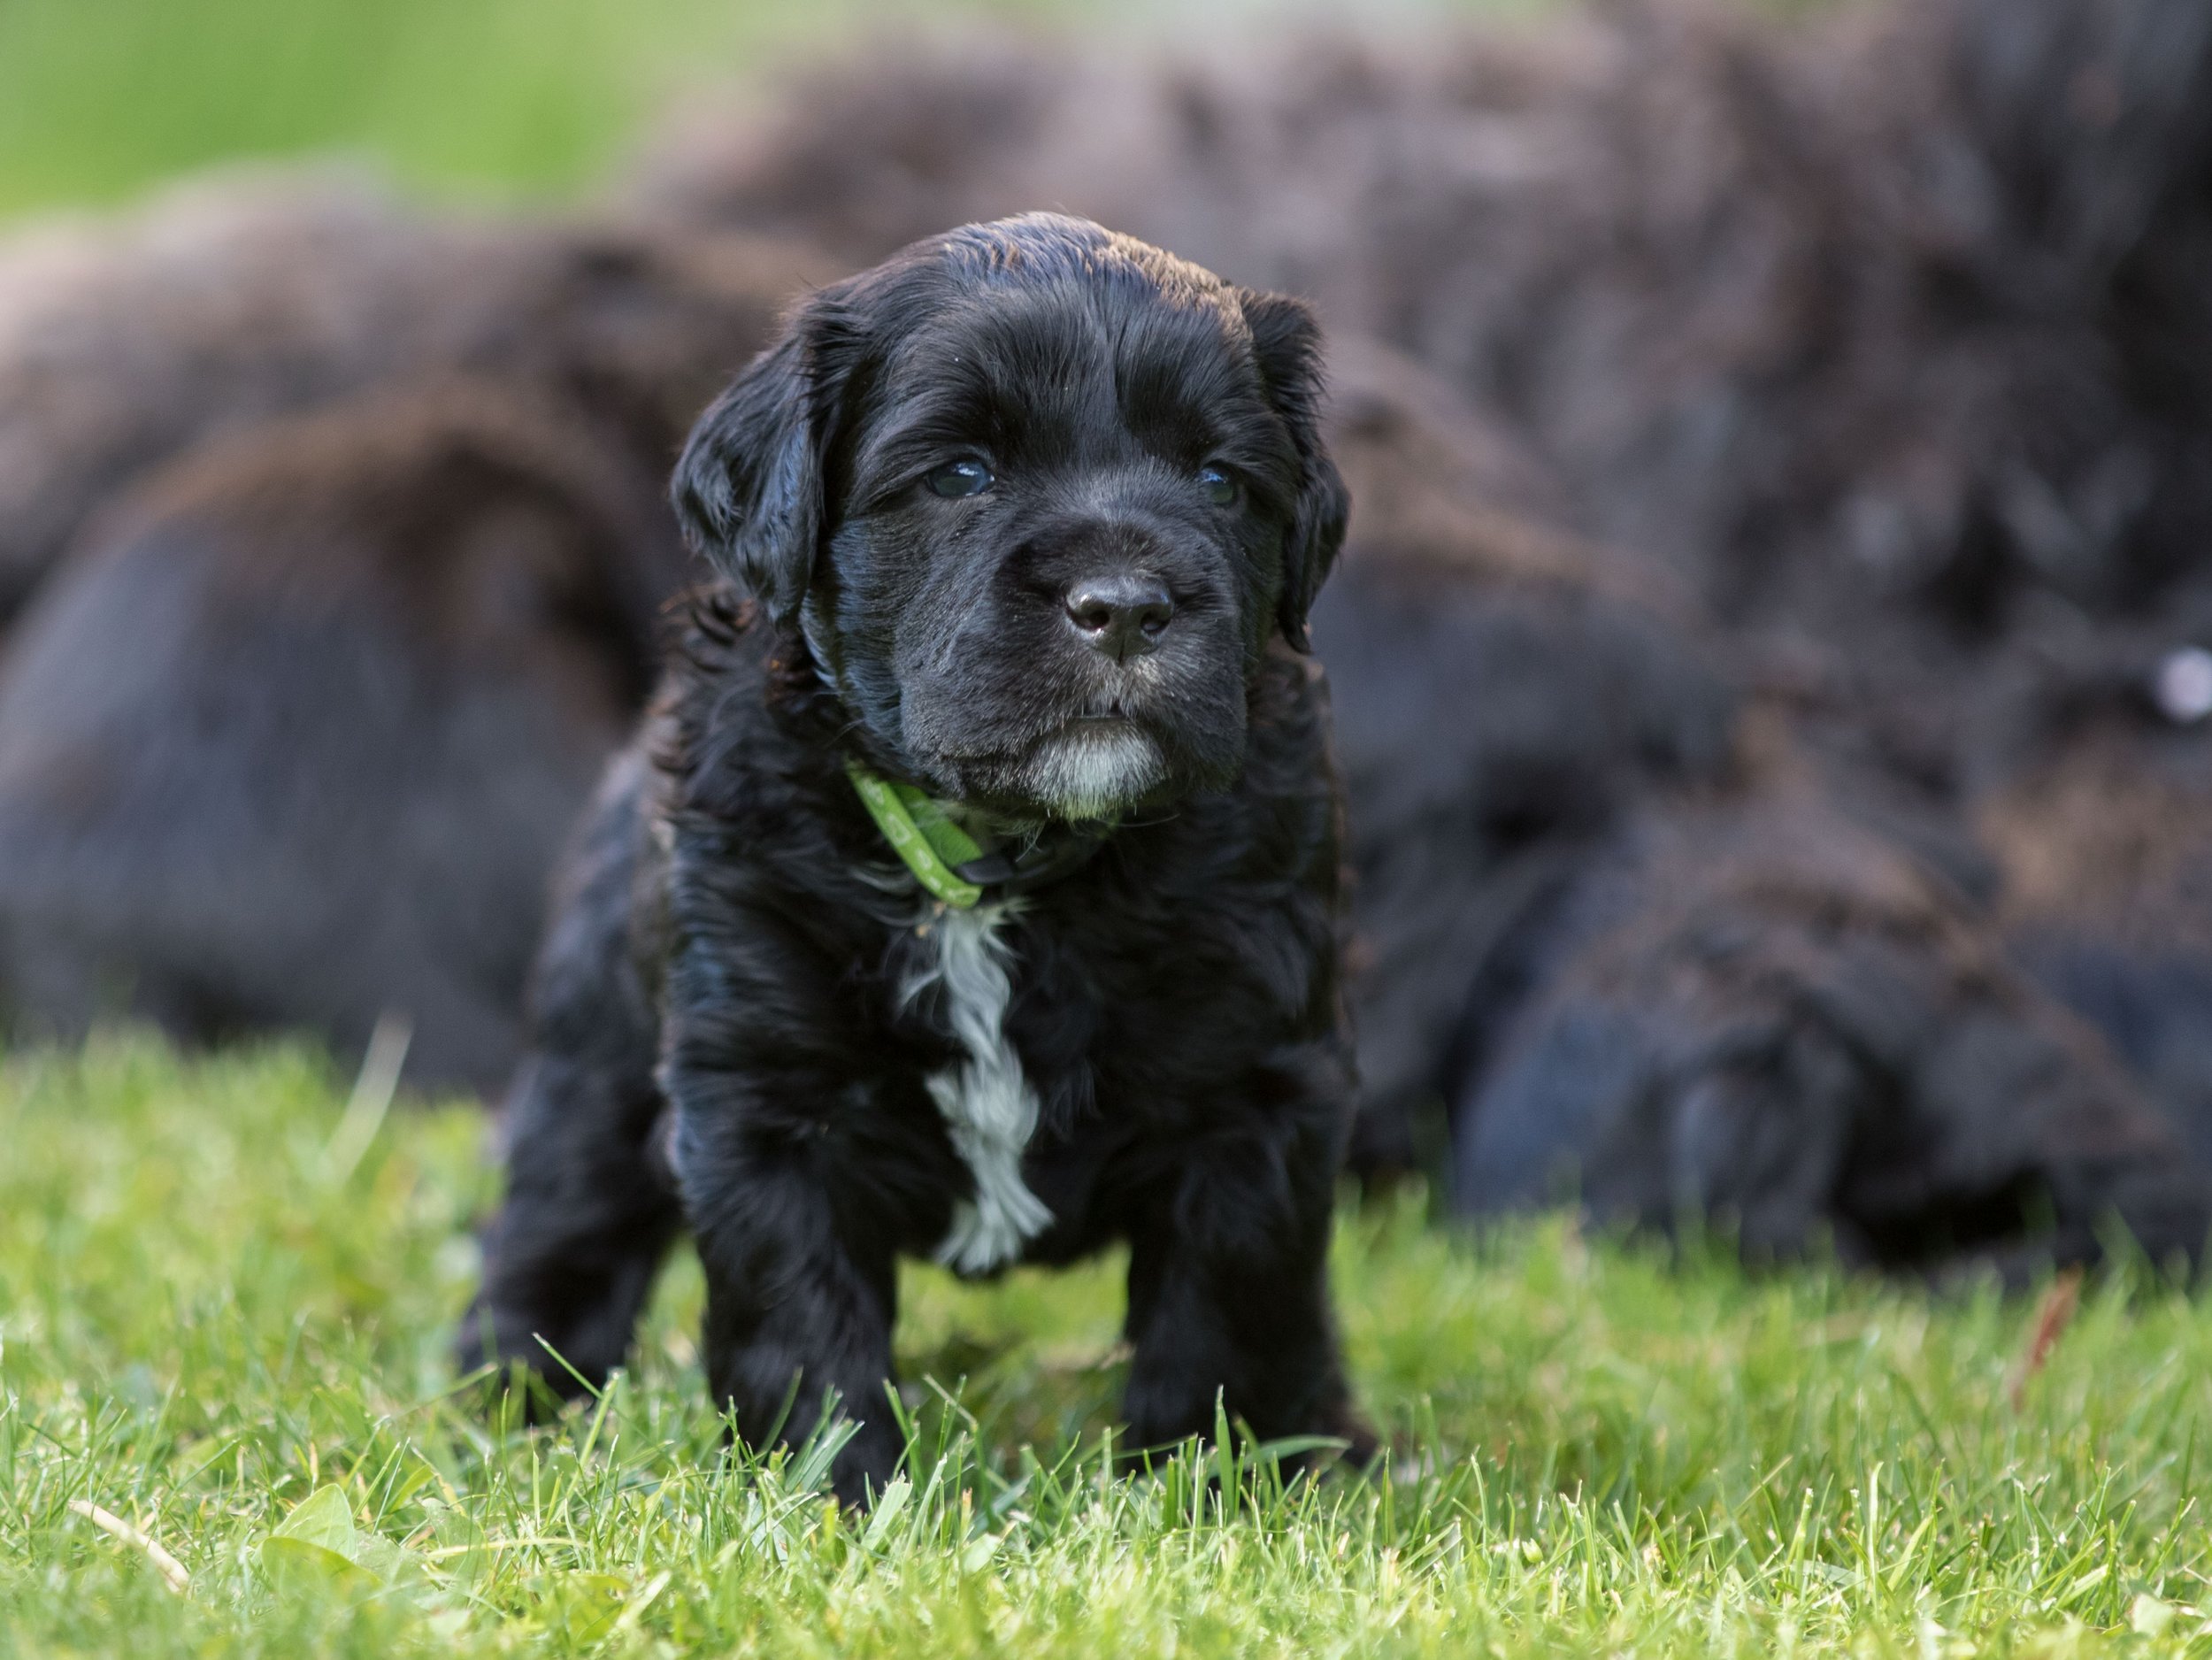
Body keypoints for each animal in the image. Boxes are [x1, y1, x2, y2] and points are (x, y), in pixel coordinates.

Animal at [465, 214, 1363, 1504]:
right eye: (960, 475)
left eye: (1218, 481)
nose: (1125, 605)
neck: (1001, 865)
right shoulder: (765, 1097)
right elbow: (800, 1317)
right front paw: (833, 1496)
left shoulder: (1257, 1086)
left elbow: (1229, 1309)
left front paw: (1216, 1493)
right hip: (595, 1042)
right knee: (562, 1213)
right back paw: (515, 1402)